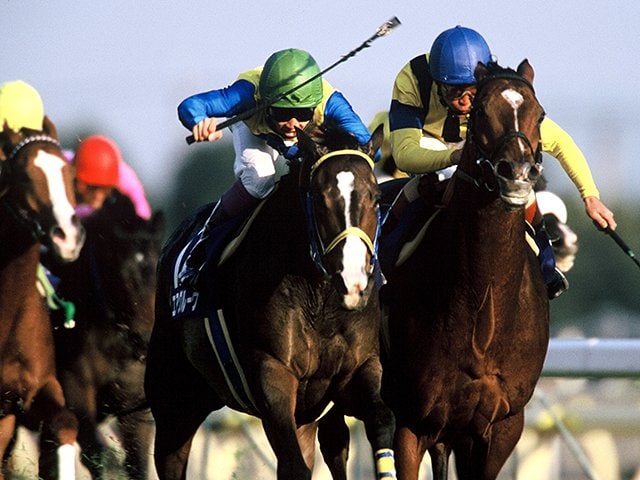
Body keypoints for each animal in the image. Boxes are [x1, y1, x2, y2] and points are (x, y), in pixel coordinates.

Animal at [50, 191, 164, 479]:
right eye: (122, 275)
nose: (146, 340)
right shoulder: (76, 389)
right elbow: (96, 455)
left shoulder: (136, 408)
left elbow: (137, 463)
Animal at [144, 126, 397, 479]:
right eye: (321, 198)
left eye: (375, 196)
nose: (353, 281)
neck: (320, 298)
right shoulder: (272, 374)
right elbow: (296, 464)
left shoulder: (359, 369)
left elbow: (381, 420)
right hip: (174, 404)